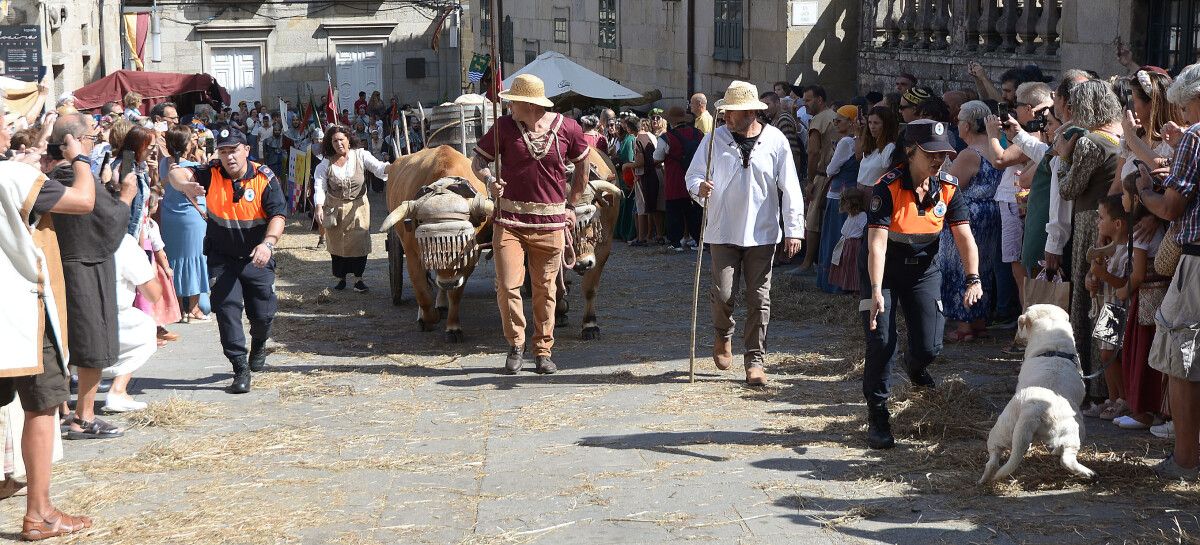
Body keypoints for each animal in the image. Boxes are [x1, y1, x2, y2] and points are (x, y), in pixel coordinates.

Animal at [974, 304, 1099, 482]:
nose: (1015, 338)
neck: (1054, 348)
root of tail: (1033, 409)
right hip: (1075, 429)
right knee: (1066, 459)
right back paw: (1088, 473)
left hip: (1002, 429)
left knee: (992, 460)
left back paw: (984, 480)